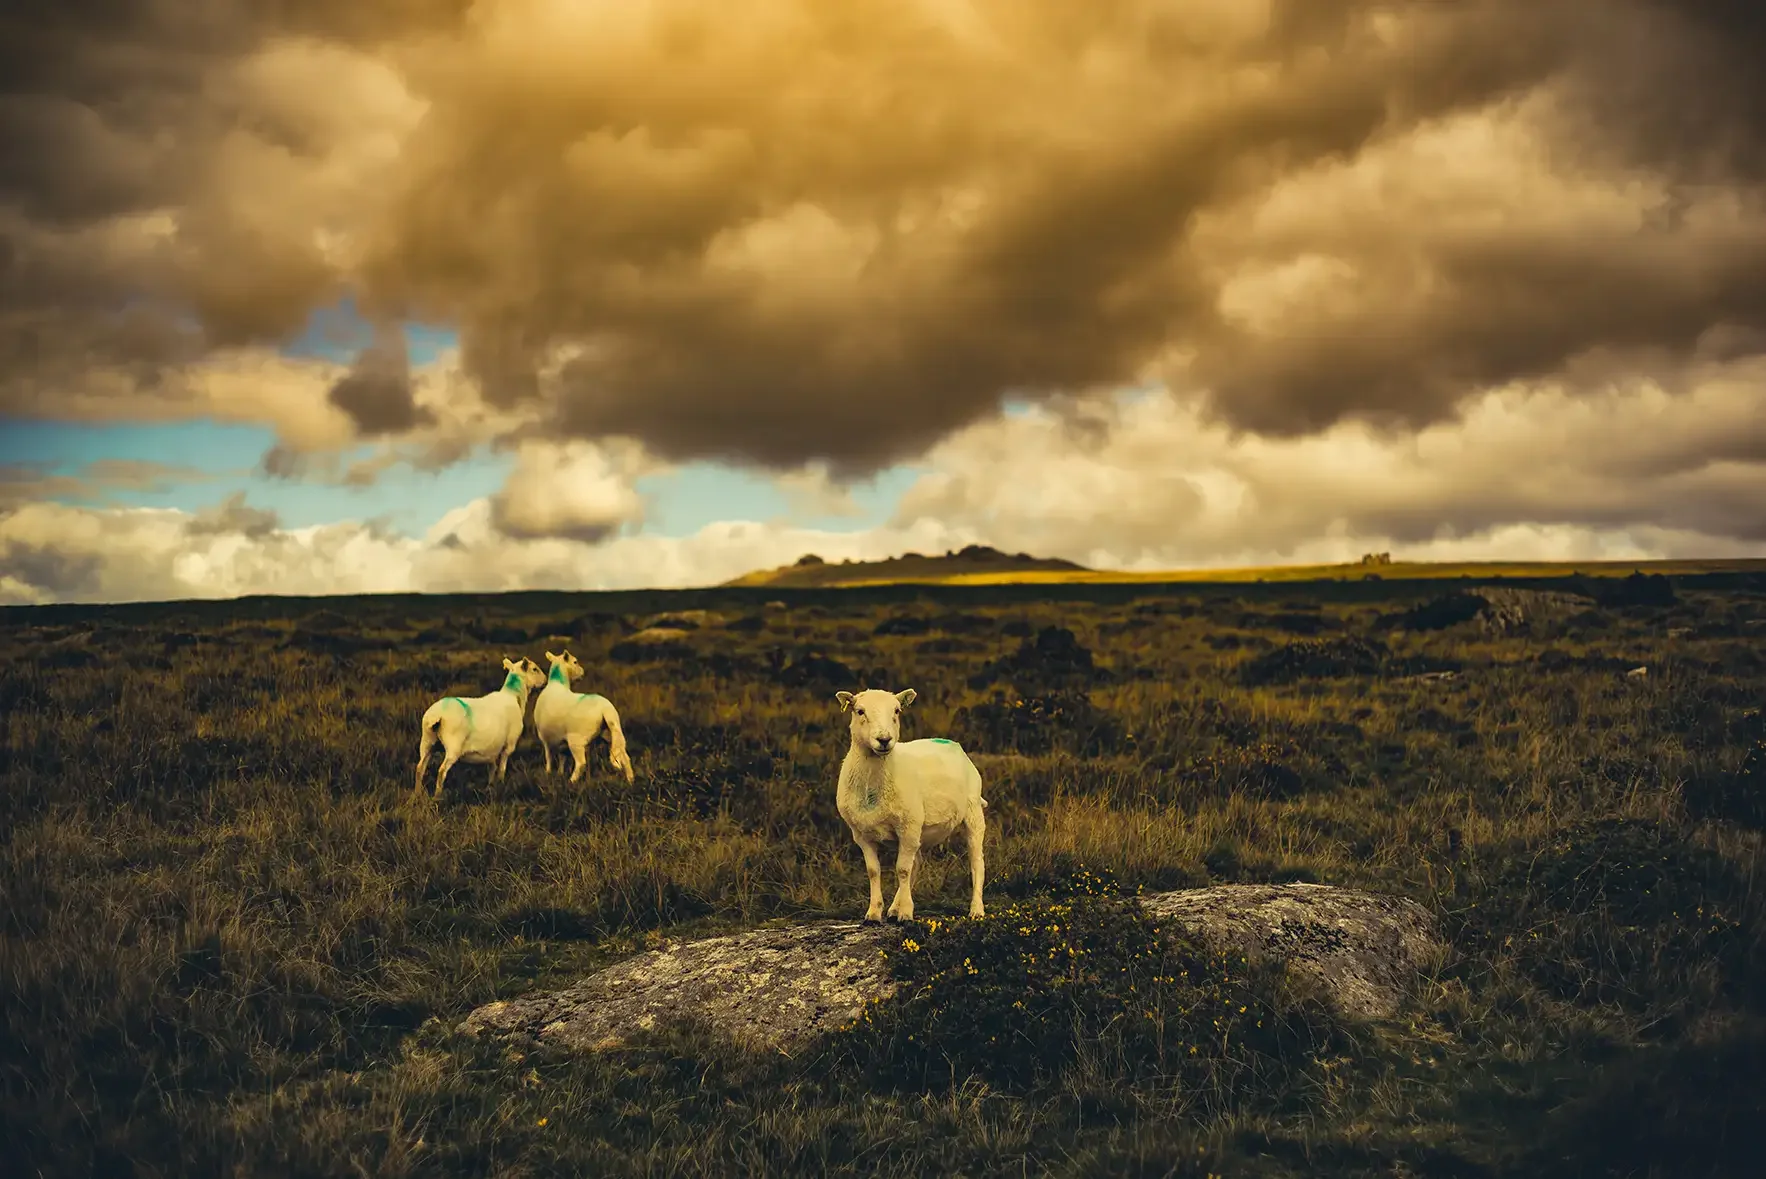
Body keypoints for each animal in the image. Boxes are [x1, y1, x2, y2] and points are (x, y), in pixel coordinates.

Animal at [414, 656, 548, 799]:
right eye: (535, 669)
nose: (546, 680)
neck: (514, 696)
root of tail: (436, 714)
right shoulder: (509, 745)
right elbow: (501, 768)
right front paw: (501, 784)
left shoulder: (492, 749)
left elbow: (492, 768)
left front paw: (491, 787)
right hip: (453, 747)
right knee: (441, 771)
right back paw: (437, 797)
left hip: (427, 741)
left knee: (419, 768)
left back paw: (417, 794)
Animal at [533, 650, 635, 784]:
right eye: (575, 662)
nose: (582, 671)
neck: (557, 684)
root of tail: (605, 709)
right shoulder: (560, 740)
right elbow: (562, 757)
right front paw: (559, 773)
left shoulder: (546, 738)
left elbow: (549, 757)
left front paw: (548, 773)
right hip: (611, 734)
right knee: (624, 757)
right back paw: (630, 780)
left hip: (576, 740)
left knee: (581, 763)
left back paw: (571, 781)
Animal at [834, 687, 988, 923]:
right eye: (859, 711)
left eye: (897, 711)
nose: (884, 739)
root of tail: (951, 743)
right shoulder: (861, 834)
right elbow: (874, 871)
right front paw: (874, 913)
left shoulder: (907, 827)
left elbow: (902, 870)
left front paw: (906, 913)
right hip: (920, 829)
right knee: (917, 862)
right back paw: (894, 908)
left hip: (972, 813)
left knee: (976, 862)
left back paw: (976, 909)